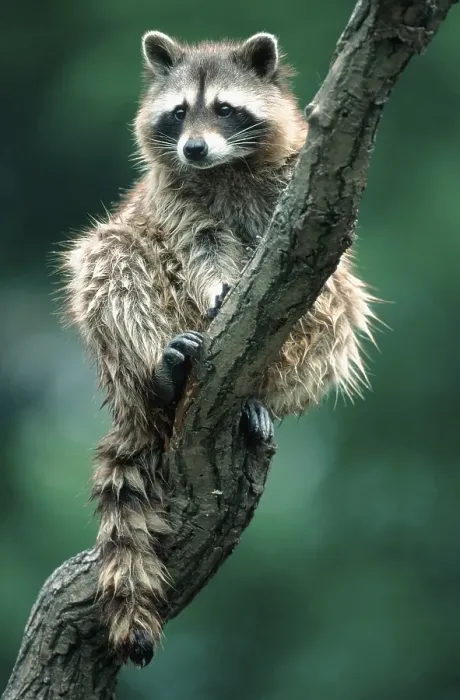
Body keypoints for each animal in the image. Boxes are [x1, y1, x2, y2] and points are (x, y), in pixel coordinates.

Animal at [61, 31, 375, 666]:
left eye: (226, 109)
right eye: (179, 112)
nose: (195, 149)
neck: (227, 167)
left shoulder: (292, 188)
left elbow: (323, 274)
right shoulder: (174, 196)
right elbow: (197, 245)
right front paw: (213, 286)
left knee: (341, 306)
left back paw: (261, 395)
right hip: (127, 313)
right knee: (111, 257)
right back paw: (161, 374)